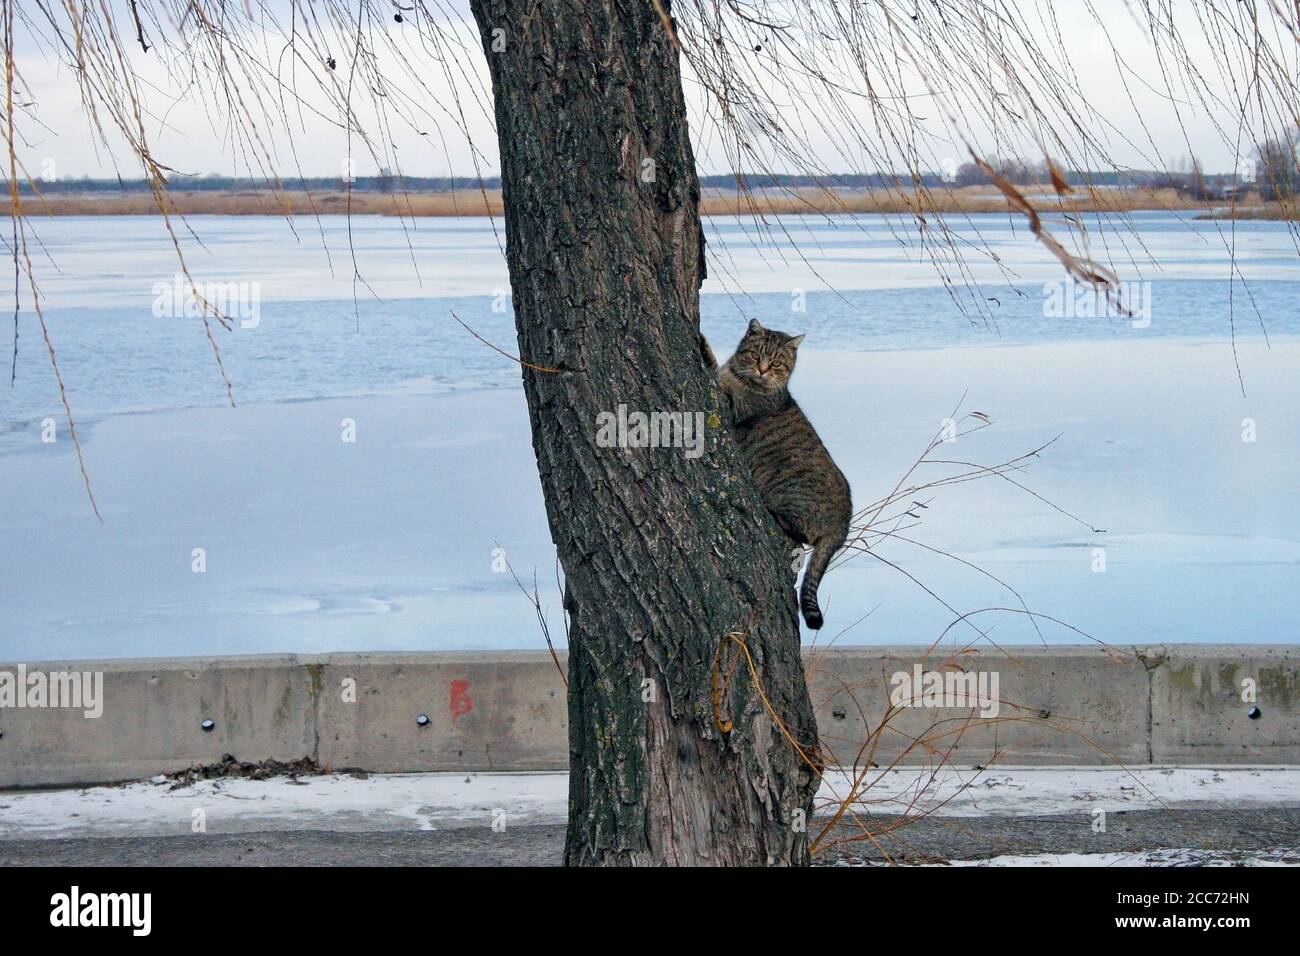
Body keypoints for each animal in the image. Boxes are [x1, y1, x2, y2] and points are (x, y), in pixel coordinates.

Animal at [707, 321, 847, 632]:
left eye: (776, 362)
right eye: (756, 354)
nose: (762, 370)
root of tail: (844, 524)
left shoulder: (730, 409)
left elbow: (713, 373)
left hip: (790, 494)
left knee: (799, 533)